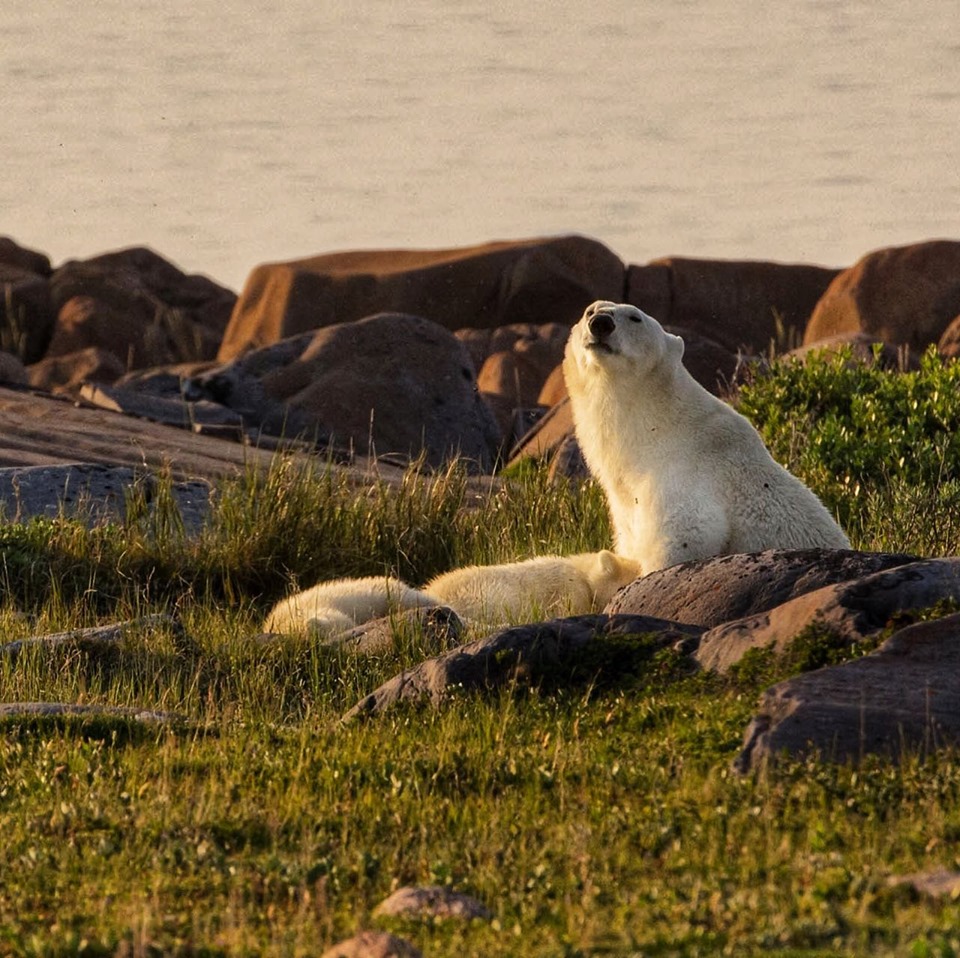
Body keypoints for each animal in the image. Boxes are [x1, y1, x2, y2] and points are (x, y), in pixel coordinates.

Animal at [562, 300, 850, 575]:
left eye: (635, 317)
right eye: (590, 311)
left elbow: (685, 536)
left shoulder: (685, 478)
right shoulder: (625, 506)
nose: (601, 323)